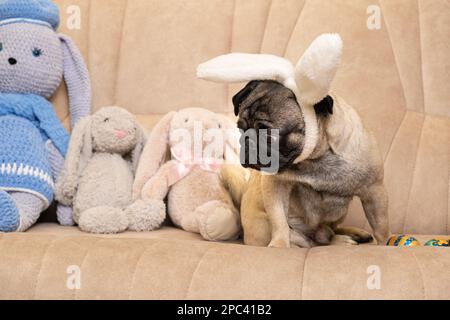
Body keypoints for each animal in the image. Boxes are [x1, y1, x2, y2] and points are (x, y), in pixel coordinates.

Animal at [197, 33, 390, 248]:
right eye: (241, 128)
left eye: (268, 133)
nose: (248, 143)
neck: (314, 160)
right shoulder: (275, 187)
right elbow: (279, 220)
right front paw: (279, 245)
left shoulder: (374, 190)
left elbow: (381, 227)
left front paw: (383, 245)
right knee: (316, 239)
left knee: (329, 232)